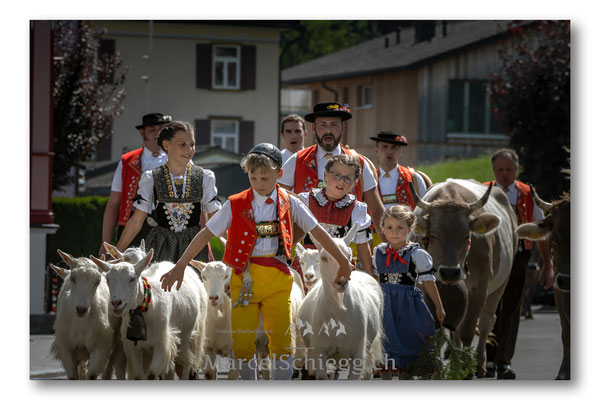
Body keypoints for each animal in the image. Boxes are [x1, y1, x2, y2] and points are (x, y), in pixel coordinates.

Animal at [50, 250, 124, 378]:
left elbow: (92, 375)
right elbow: (74, 376)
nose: (81, 309)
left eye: (98, 281)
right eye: (73, 278)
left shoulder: (100, 346)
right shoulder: (67, 347)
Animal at [91, 250, 209, 382]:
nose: (116, 303)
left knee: (185, 366)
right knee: (170, 369)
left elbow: (151, 375)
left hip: (189, 339)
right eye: (108, 279)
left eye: (132, 279)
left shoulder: (162, 344)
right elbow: (138, 376)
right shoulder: (134, 347)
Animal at [410, 177, 516, 376]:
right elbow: (437, 327)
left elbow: (468, 330)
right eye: (433, 236)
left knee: (486, 321)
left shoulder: (479, 288)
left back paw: (481, 364)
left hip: (500, 284)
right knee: (456, 328)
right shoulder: (425, 286)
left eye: (467, 236)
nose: (450, 272)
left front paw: (467, 369)